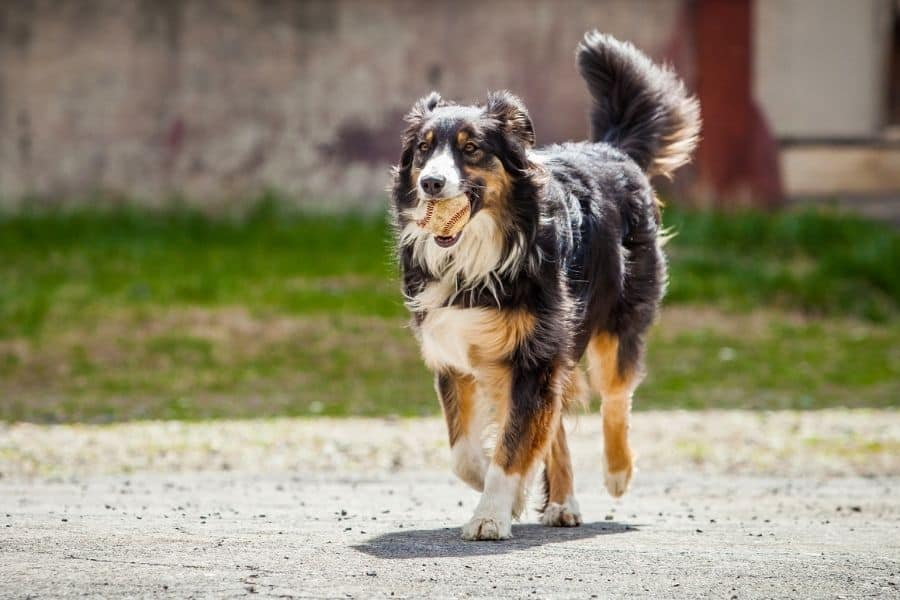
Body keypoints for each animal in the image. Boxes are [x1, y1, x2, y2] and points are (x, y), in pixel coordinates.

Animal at [390, 30, 700, 540]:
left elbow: (513, 444)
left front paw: (492, 513)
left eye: (471, 149)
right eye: (423, 149)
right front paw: (508, 496)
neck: (478, 251)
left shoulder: (532, 355)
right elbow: (470, 453)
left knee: (616, 395)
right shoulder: (457, 355)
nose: (432, 182)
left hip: (608, 323)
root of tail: (612, 150)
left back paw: (617, 472)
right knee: (555, 423)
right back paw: (562, 501)